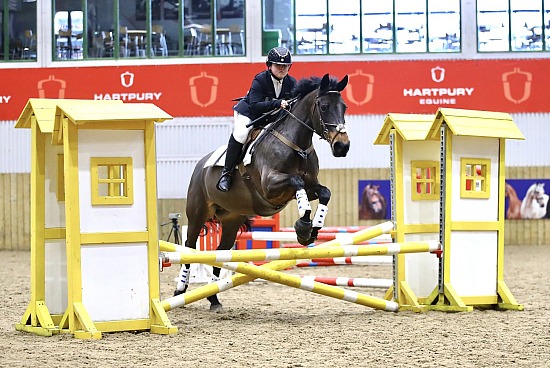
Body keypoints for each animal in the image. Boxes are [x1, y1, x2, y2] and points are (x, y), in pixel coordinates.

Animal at [177, 73, 350, 310]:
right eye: (323, 106)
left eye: (344, 107)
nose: (342, 146)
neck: (296, 145)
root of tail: (200, 165)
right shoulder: (270, 187)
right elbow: (296, 182)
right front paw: (303, 225)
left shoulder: (310, 186)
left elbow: (324, 193)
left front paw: (312, 229)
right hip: (198, 213)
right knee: (189, 247)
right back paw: (179, 291)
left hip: (232, 218)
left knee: (220, 251)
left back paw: (213, 298)